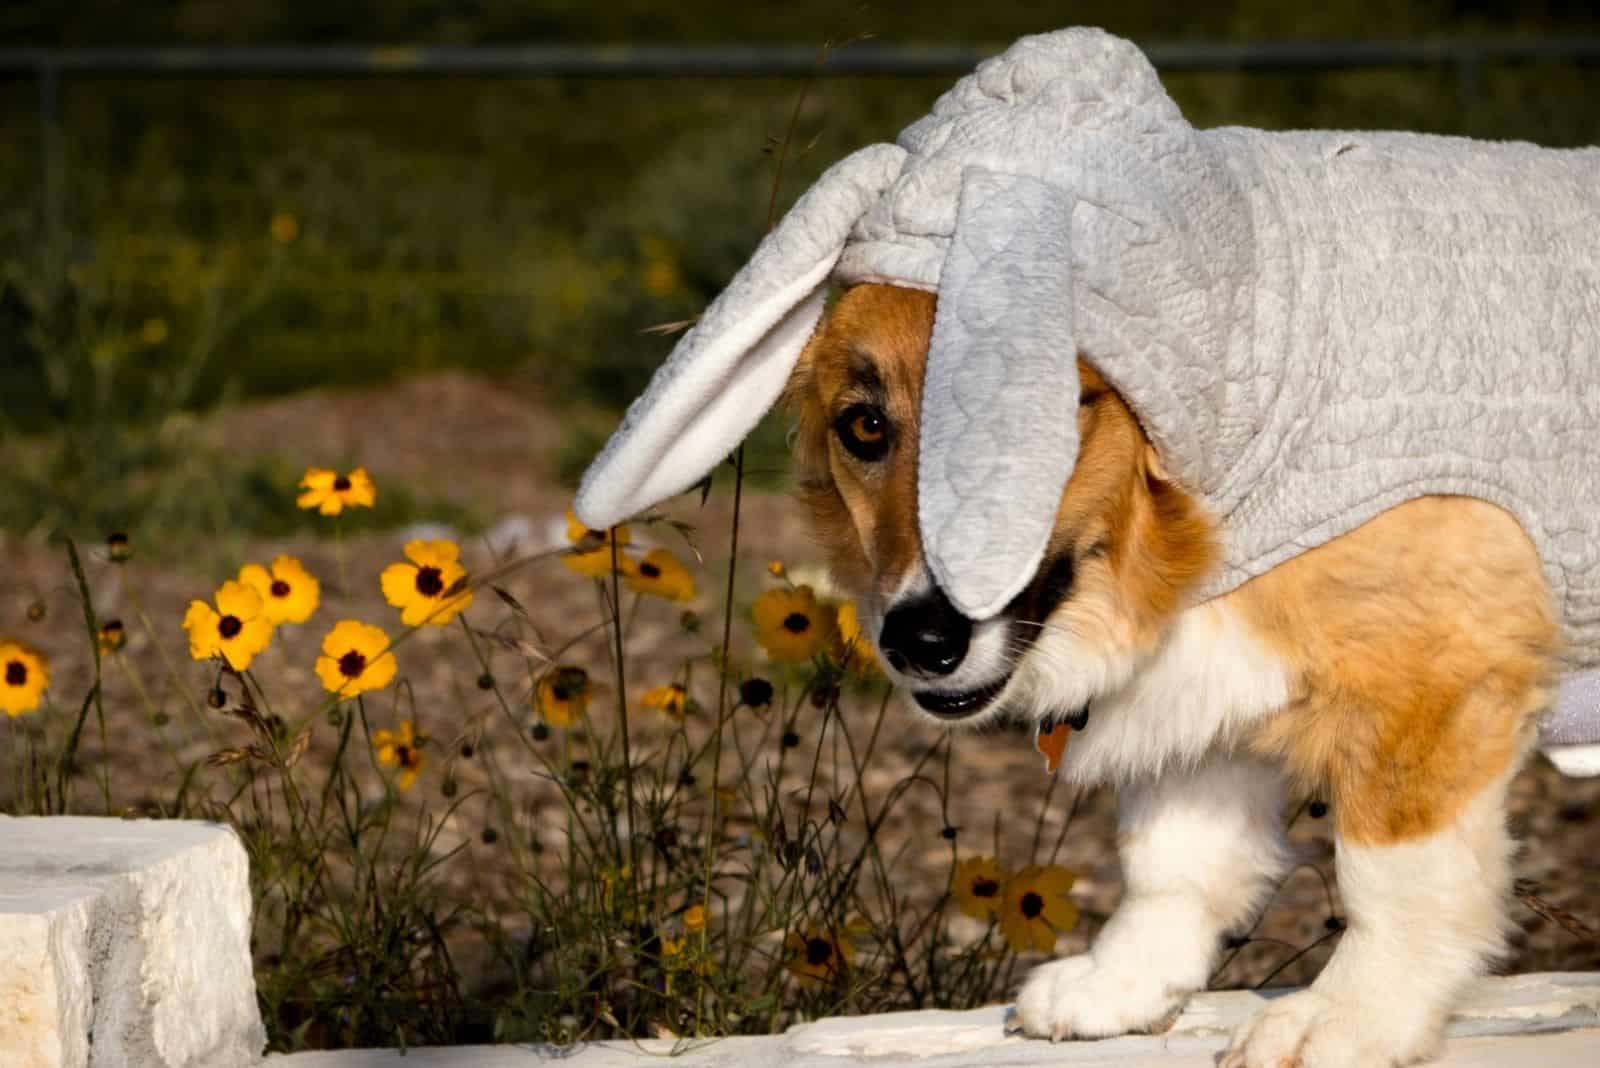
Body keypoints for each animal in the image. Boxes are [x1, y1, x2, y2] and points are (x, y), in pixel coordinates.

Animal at [780, 282, 1555, 1068]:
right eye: (865, 426)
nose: (919, 643)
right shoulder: (1204, 706)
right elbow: (1173, 862)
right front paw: (1122, 979)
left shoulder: (1432, 684)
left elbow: (1392, 880)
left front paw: (1350, 1016)